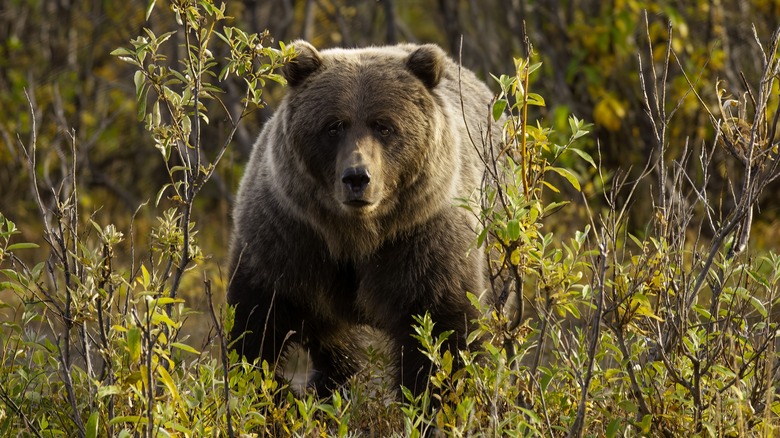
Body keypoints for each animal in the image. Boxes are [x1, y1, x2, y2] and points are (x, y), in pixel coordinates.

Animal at [227, 41, 500, 396]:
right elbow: (256, 325)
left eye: (384, 126)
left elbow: (444, 333)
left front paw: (433, 396)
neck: (356, 234)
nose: (357, 177)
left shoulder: (424, 239)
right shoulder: (287, 236)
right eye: (333, 126)